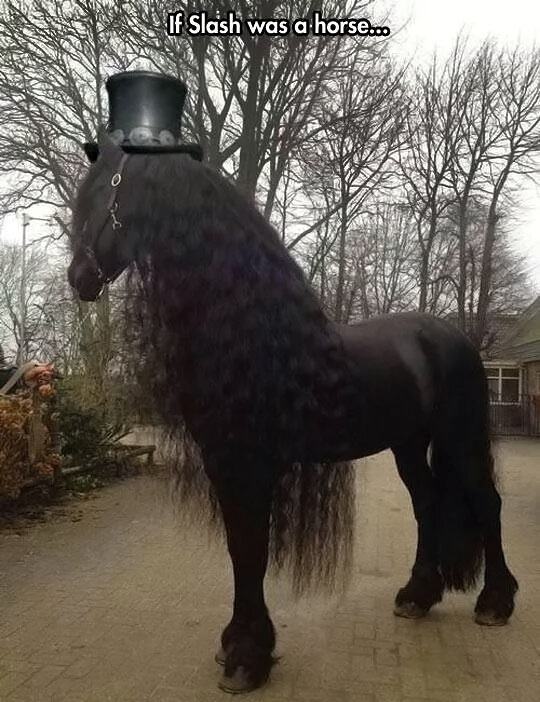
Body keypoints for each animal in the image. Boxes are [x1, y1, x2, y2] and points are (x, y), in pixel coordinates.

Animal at [67, 131, 518, 694]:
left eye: (108, 191)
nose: (79, 278)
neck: (253, 335)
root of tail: (451, 336)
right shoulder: (223, 462)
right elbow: (240, 549)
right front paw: (238, 643)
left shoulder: (252, 464)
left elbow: (251, 550)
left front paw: (248, 656)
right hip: (409, 445)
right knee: (427, 502)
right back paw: (417, 595)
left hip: (459, 438)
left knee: (487, 503)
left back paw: (495, 603)